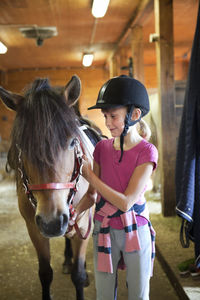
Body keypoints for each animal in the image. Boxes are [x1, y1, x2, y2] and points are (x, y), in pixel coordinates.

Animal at [0, 75, 100, 300]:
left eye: (72, 142)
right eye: (22, 146)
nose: (51, 223)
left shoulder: (83, 225)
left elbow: (78, 274)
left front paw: (81, 274)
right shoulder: (34, 229)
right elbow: (45, 273)